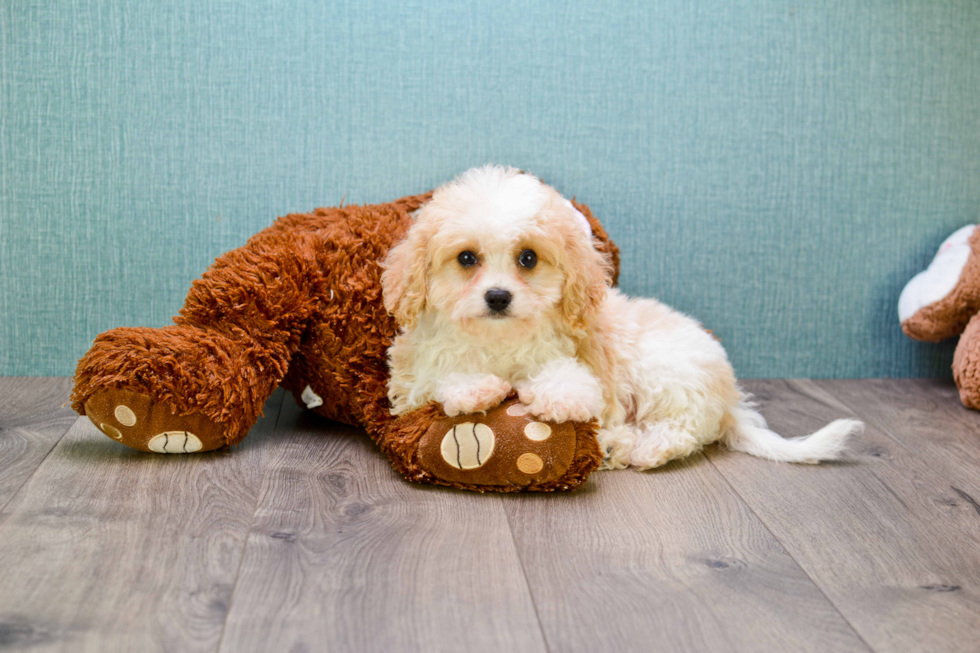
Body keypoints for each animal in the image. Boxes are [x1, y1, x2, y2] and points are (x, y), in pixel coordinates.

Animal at [378, 166, 860, 466]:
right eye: (466, 258)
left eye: (528, 258)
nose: (498, 297)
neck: (499, 341)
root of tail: (730, 402)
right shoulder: (411, 381)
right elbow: (441, 379)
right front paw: (475, 387)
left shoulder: (584, 363)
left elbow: (572, 382)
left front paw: (553, 396)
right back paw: (616, 446)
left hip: (663, 370)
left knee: (684, 429)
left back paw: (637, 448)